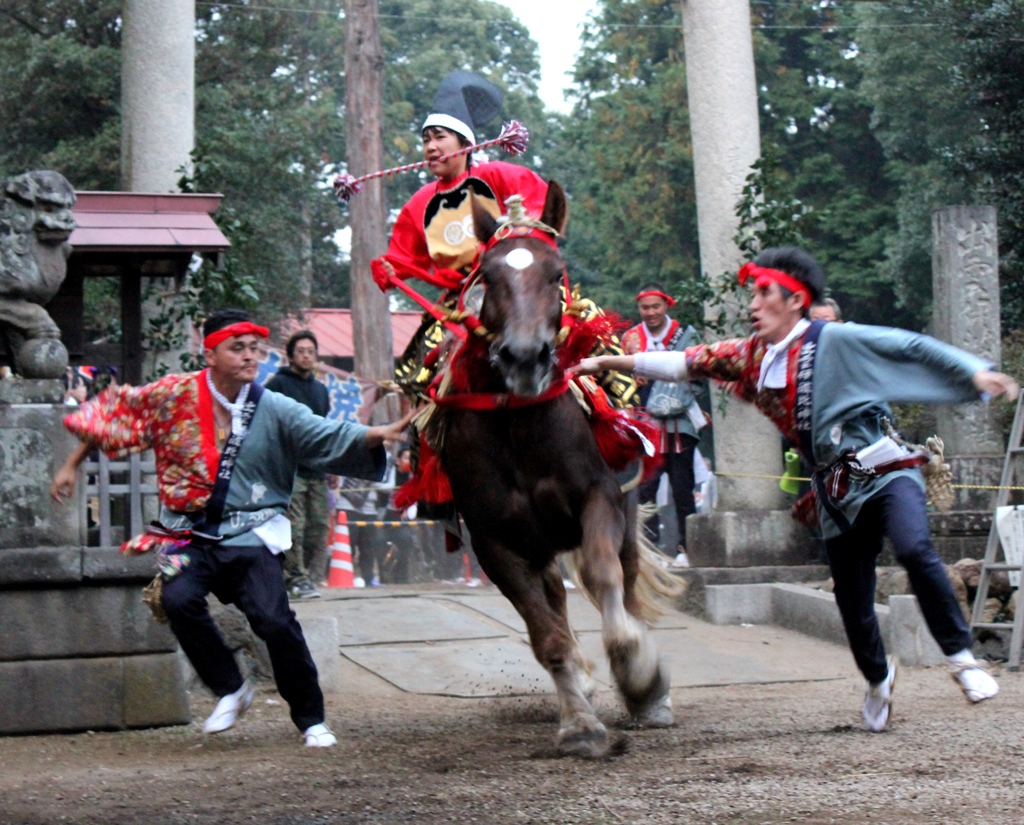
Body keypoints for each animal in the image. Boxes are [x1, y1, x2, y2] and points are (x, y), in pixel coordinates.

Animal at [432, 184, 679, 757]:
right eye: (488, 275)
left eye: (554, 272)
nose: (525, 357)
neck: (520, 426)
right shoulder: (493, 539)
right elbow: (545, 635)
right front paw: (579, 724)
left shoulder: (599, 497)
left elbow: (604, 577)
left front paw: (639, 672)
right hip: (536, 542)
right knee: (554, 600)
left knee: (625, 577)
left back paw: (647, 694)